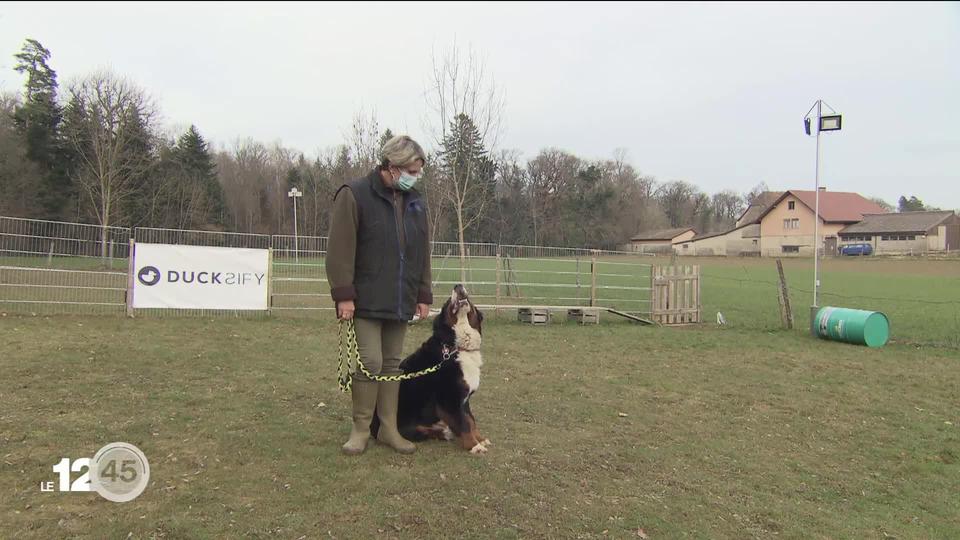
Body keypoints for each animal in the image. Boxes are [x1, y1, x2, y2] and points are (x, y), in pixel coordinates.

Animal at [372, 284, 492, 454]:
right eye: (448, 301)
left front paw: (480, 439)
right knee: (420, 431)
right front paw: (474, 445)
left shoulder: (463, 399)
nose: (458, 286)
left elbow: (470, 420)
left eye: (469, 299)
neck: (453, 347)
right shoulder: (449, 398)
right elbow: (464, 423)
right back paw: (444, 432)